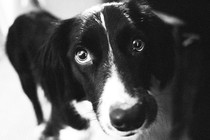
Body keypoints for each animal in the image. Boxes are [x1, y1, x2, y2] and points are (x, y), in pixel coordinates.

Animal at [5, 0, 185, 139]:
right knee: (35, 103)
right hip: (25, 78)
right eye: (81, 55)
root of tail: (30, 11)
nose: (130, 117)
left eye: (137, 44)